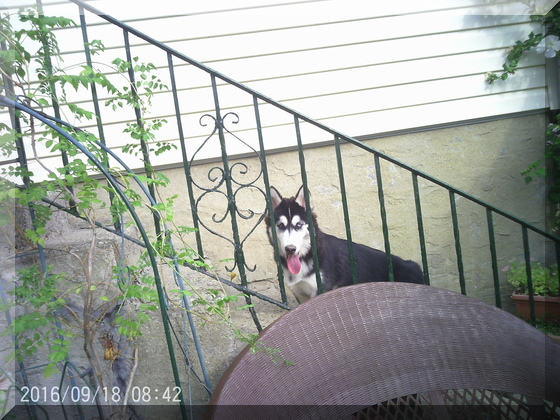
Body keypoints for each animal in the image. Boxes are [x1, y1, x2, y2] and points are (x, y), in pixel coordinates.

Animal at [264, 185, 422, 304]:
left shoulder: (320, 291)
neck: (305, 257)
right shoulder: (301, 294)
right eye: (280, 225)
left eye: (298, 225)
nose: (290, 249)